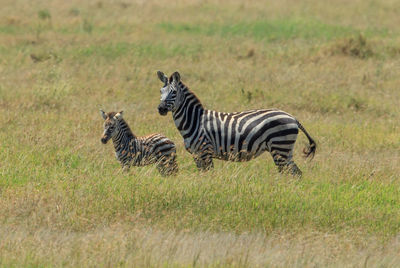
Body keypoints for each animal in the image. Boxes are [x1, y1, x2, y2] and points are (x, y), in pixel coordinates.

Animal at [156, 71, 316, 176]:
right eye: (161, 91)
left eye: (174, 92)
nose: (161, 109)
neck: (194, 121)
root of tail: (293, 117)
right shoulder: (197, 155)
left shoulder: (205, 152)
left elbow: (208, 176)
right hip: (285, 150)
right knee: (296, 173)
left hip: (280, 147)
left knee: (291, 173)